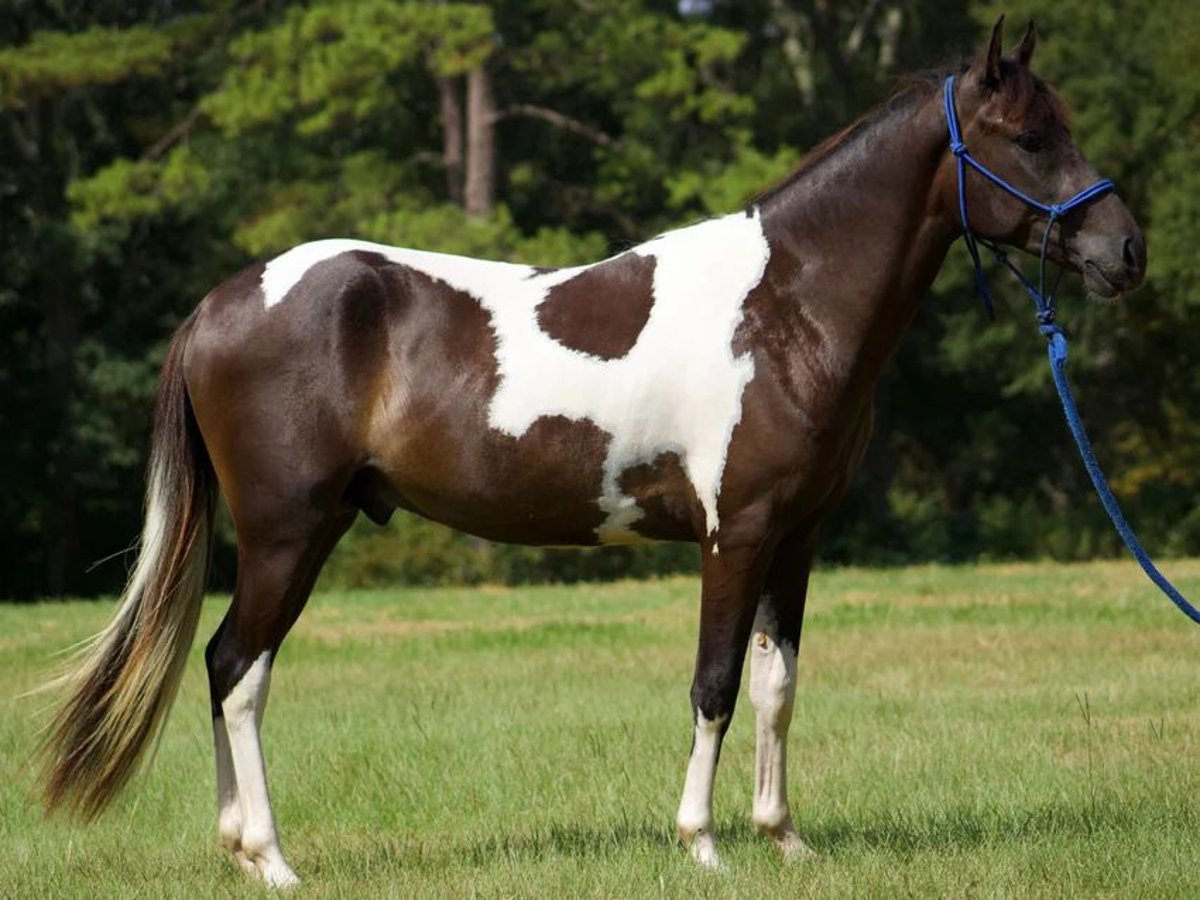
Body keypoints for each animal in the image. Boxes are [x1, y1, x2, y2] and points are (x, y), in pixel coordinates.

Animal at [37, 19, 1142, 888]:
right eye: (1028, 135)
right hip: (286, 532)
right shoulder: (735, 536)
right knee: (238, 668)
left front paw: (784, 838)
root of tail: (222, 302)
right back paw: (271, 859)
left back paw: (240, 850)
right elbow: (714, 684)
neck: (784, 309)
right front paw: (702, 844)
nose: (1125, 251)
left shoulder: (796, 538)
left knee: (226, 667)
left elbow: (778, 685)